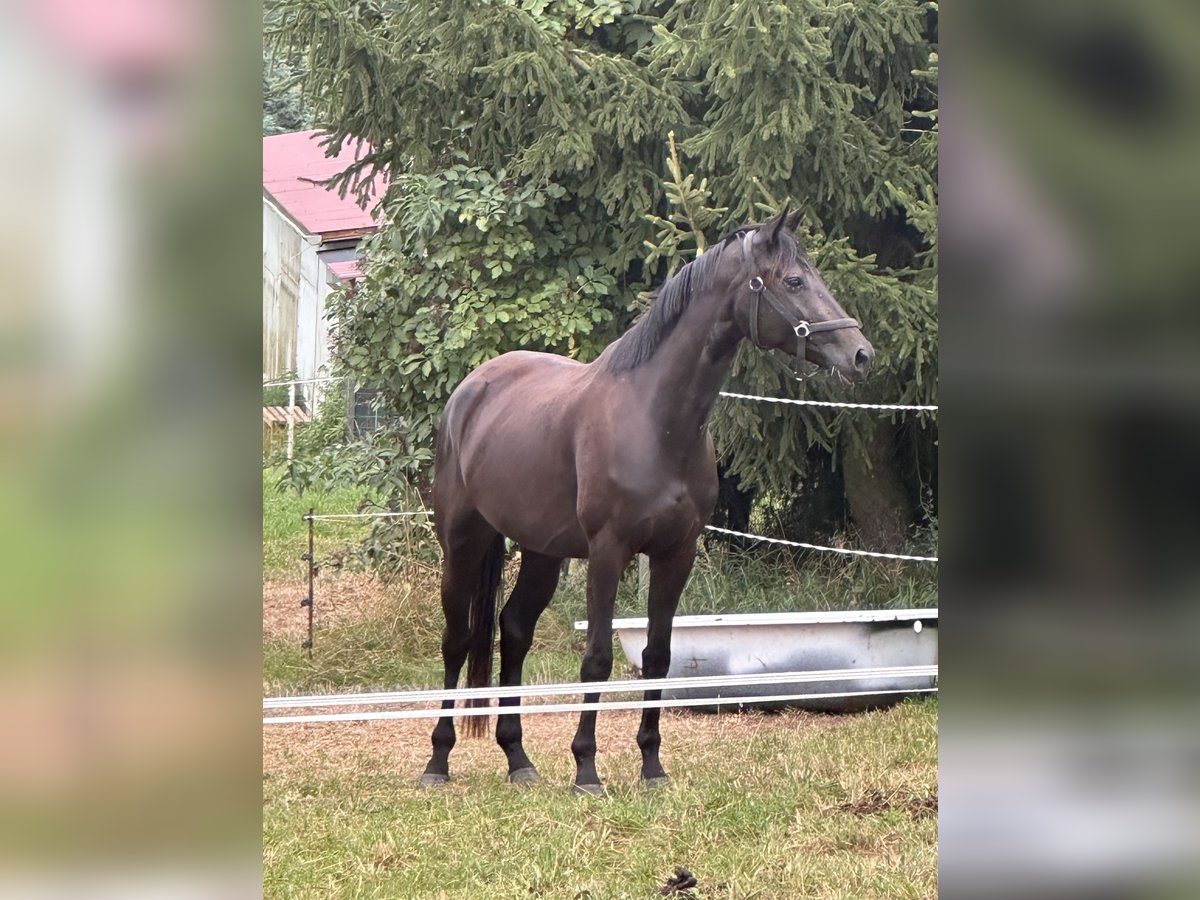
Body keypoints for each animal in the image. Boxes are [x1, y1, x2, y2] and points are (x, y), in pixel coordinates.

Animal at [417, 210, 868, 796]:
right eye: (793, 281)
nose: (860, 353)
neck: (655, 419)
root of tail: (469, 391)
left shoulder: (676, 554)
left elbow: (658, 657)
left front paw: (652, 767)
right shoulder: (609, 553)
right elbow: (596, 659)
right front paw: (586, 770)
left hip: (543, 552)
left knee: (513, 631)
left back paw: (519, 761)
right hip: (463, 541)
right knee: (458, 638)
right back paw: (437, 761)